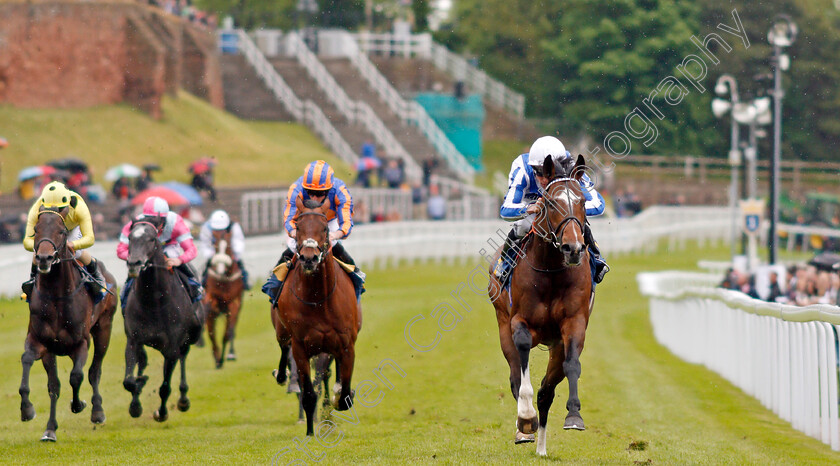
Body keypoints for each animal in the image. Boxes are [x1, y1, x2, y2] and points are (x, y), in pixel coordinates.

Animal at [18, 206, 117, 442]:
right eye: (35, 230)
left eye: (62, 231)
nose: (44, 258)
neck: (56, 296)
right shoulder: (40, 342)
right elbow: (29, 362)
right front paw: (27, 410)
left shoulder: (81, 343)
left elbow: (77, 376)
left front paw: (78, 404)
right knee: (54, 385)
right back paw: (50, 430)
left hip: (104, 329)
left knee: (94, 371)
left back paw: (97, 412)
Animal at [122, 218, 204, 422]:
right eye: (130, 237)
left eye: (152, 239)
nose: (134, 263)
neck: (153, 302)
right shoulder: (133, 340)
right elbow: (129, 381)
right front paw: (136, 402)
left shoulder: (171, 349)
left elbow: (165, 387)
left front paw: (161, 412)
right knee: (142, 362)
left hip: (187, 340)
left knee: (183, 358)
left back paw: (183, 400)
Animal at [203, 228, 243, 370]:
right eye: (215, 246)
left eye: (228, 247)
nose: (220, 270)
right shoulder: (211, 296)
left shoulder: (234, 303)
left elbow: (228, 333)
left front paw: (229, 355)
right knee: (211, 333)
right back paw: (217, 357)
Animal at [270, 198, 360, 436]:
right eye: (299, 227)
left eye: (325, 229)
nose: (309, 258)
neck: (319, 299)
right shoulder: (301, 346)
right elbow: (309, 394)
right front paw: (310, 432)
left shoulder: (346, 345)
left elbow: (344, 396)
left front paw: (337, 399)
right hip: (283, 333)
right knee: (284, 349)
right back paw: (282, 375)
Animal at [488, 155, 592, 456]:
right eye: (551, 202)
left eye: (582, 201)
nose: (573, 248)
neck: (551, 271)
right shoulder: (518, 322)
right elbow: (522, 371)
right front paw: (525, 418)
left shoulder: (574, 323)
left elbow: (572, 365)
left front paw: (574, 416)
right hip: (502, 322)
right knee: (515, 375)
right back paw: (525, 429)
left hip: (555, 344)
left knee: (547, 390)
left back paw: (542, 448)